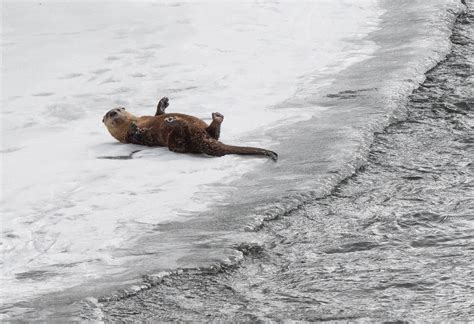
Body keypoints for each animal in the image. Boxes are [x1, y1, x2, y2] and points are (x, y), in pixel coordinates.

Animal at [102, 97, 276, 161]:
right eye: (108, 115)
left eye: (117, 109)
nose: (114, 113)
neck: (137, 120)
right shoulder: (128, 138)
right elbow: (137, 136)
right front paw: (135, 129)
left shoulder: (148, 117)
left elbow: (158, 113)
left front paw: (164, 102)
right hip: (177, 140)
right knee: (180, 144)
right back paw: (173, 122)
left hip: (202, 130)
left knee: (213, 132)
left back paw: (216, 117)